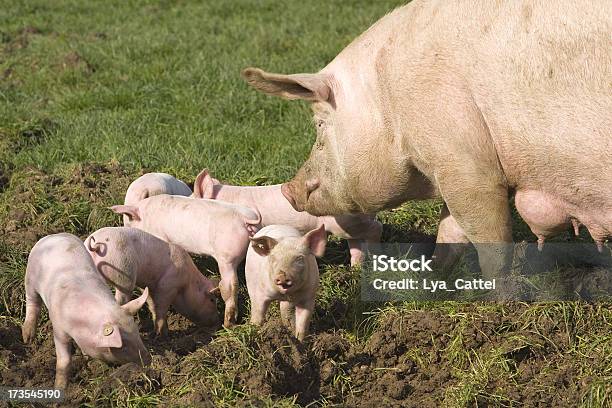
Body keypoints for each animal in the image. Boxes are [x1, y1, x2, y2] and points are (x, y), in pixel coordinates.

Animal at [22, 234, 151, 388]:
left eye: (137, 334)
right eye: (123, 345)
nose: (149, 360)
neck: (82, 324)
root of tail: (54, 236)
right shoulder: (59, 328)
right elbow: (64, 360)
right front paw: (60, 387)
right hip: (30, 277)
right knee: (32, 302)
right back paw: (27, 338)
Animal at [85, 226, 220, 334]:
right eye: (212, 300)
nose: (217, 321)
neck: (187, 283)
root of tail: (97, 245)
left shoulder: (149, 286)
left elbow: (151, 304)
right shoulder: (167, 285)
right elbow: (161, 306)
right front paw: (162, 334)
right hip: (124, 272)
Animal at [110, 196, 260, 326]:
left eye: (129, 223)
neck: (145, 215)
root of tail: (245, 219)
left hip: (226, 257)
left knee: (229, 285)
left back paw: (228, 323)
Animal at [244, 0, 612, 278]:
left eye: (319, 123)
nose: (288, 189)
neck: (387, 97)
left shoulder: (466, 161)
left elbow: (486, 234)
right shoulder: (451, 164)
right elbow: (450, 228)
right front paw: (430, 277)